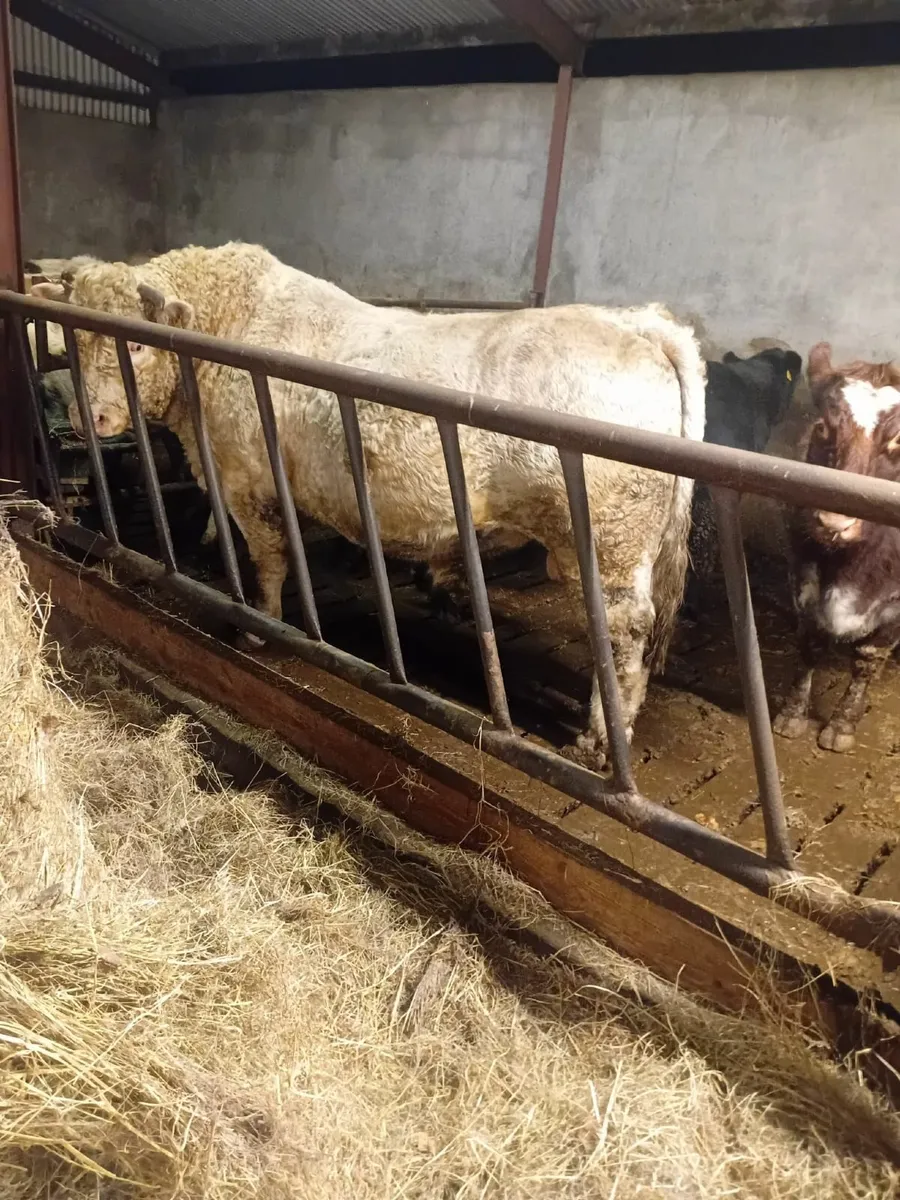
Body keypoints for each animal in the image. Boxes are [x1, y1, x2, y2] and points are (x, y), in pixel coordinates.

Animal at [32, 242, 706, 770]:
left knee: (623, 629)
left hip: (609, 538)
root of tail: (638, 323)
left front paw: (258, 627)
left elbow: (270, 557)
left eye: (134, 349)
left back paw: (598, 743)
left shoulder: (248, 479)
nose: (90, 418)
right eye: (72, 339)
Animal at [773, 342, 900, 752]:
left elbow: (867, 659)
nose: (834, 524)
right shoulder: (801, 573)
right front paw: (792, 715)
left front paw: (843, 724)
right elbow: (810, 642)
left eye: (899, 442)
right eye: (822, 428)